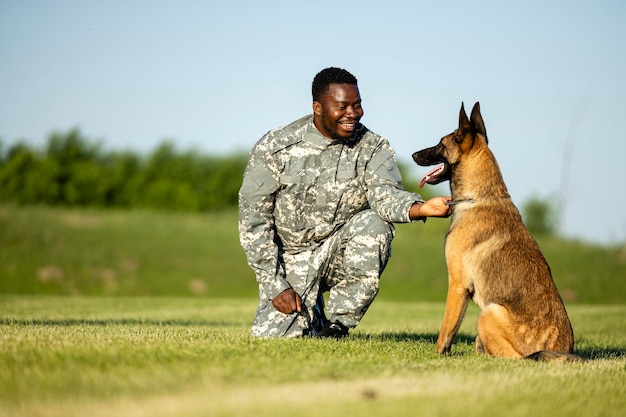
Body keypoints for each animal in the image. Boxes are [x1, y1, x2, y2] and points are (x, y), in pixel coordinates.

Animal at [412, 102, 576, 360]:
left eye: (440, 143)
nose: (413, 155)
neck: (479, 197)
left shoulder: (457, 285)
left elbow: (446, 330)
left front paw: (438, 356)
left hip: (490, 312)